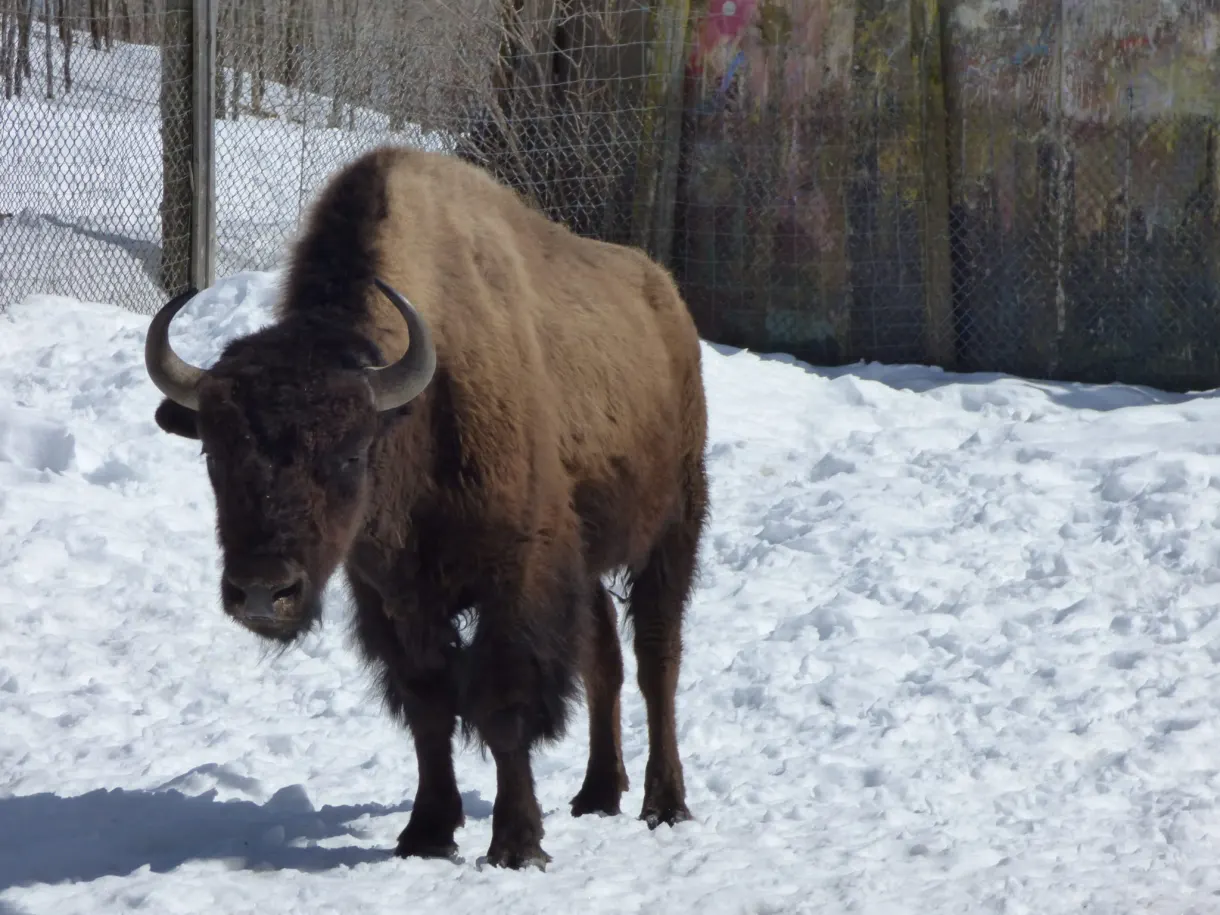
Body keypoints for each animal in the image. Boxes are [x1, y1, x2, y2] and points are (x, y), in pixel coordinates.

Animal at [143, 146, 709, 870]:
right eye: (214, 453)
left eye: (350, 453)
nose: (264, 592)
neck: (416, 410)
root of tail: (666, 299)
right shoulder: (395, 597)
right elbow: (428, 705)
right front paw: (427, 833)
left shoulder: (517, 576)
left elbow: (501, 706)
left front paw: (517, 844)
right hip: (588, 563)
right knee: (603, 660)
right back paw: (596, 793)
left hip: (672, 529)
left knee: (655, 660)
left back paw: (664, 804)